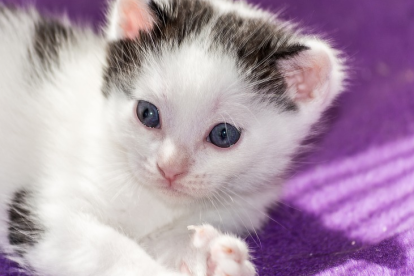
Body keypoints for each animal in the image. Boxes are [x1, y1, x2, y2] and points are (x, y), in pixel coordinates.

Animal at [0, 0, 344, 274]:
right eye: (147, 113)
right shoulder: (45, 210)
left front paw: (208, 255)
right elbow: (109, 250)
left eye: (223, 134)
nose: (169, 168)